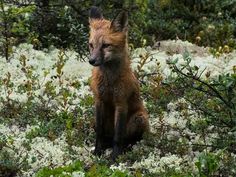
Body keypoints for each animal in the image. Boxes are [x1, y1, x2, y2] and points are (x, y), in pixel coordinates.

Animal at [88, 6, 149, 159]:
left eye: (105, 45)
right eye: (91, 45)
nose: (91, 61)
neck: (109, 81)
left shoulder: (121, 103)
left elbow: (118, 135)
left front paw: (114, 157)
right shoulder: (99, 100)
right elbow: (100, 132)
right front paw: (97, 151)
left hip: (139, 118)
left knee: (129, 139)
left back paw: (127, 148)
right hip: (93, 120)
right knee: (106, 137)